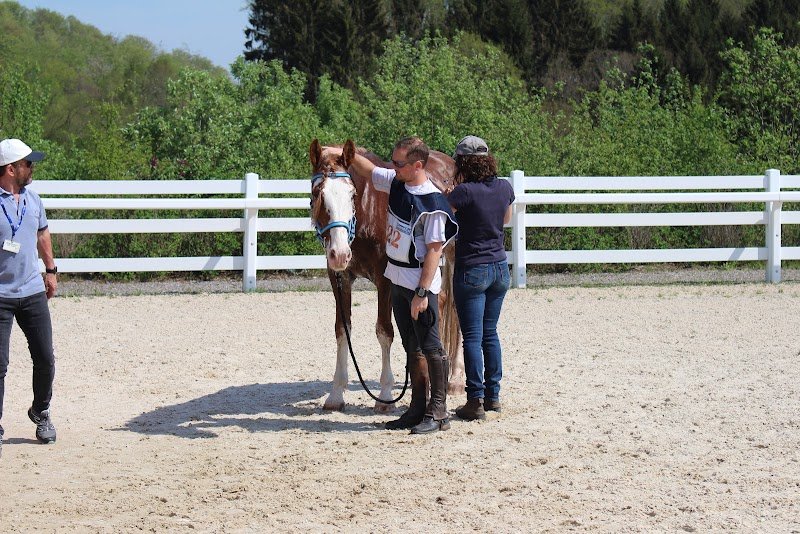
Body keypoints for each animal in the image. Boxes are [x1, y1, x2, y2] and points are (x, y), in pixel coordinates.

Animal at [308, 139, 464, 413]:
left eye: (351, 194)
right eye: (319, 194)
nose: (339, 254)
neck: (366, 214)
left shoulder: (385, 281)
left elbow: (384, 331)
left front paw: (384, 395)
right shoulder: (340, 279)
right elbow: (342, 330)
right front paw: (336, 394)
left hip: (454, 259)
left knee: (455, 308)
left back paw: (455, 379)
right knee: (440, 302)